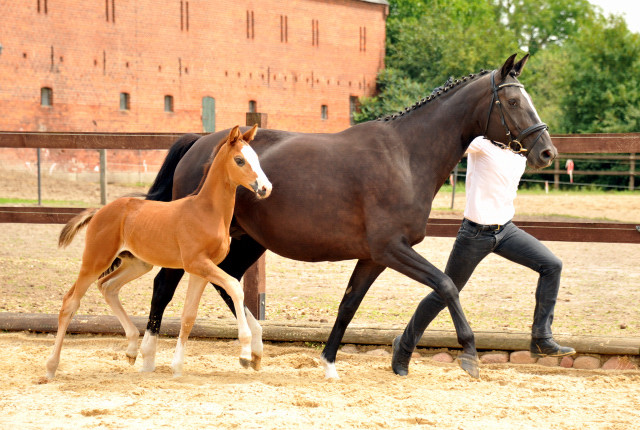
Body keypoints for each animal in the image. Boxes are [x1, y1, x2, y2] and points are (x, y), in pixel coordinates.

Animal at [45, 125, 270, 380]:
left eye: (256, 158)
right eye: (239, 160)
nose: (265, 188)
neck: (206, 212)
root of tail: (99, 211)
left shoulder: (201, 271)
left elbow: (188, 316)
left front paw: (177, 368)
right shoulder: (197, 263)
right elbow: (234, 287)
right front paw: (245, 353)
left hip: (137, 263)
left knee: (108, 286)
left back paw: (132, 348)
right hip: (95, 260)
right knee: (70, 302)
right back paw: (51, 367)